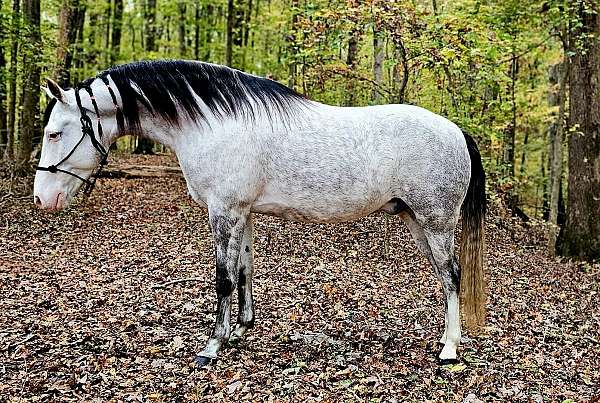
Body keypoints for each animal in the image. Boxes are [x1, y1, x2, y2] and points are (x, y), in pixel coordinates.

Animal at [34, 59, 488, 366]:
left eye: (54, 133)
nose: (42, 198)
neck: (214, 125)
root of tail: (456, 131)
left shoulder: (224, 212)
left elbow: (223, 279)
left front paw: (213, 345)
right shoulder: (243, 213)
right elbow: (244, 270)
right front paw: (240, 329)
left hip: (436, 222)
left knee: (452, 276)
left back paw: (450, 347)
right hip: (417, 222)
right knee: (444, 276)